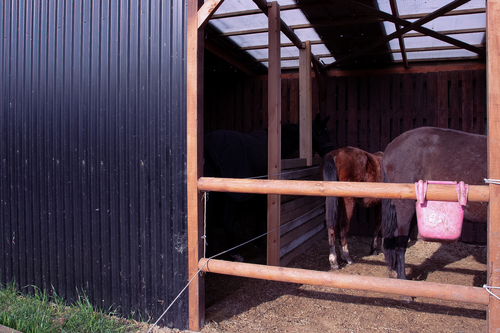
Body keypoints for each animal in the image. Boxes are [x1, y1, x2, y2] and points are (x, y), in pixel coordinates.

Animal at [201, 113, 334, 260]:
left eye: (328, 132)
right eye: (319, 132)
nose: (330, 151)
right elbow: (260, 212)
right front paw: (257, 240)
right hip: (231, 196)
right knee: (227, 220)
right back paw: (235, 253)